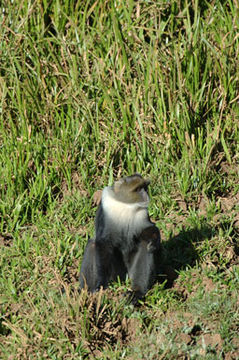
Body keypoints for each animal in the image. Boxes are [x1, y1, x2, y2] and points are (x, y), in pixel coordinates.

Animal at [79, 173, 162, 302]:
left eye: (145, 187)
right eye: (138, 189)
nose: (146, 195)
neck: (126, 205)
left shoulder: (142, 216)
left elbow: (147, 232)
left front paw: (155, 238)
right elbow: (103, 243)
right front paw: (101, 285)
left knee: (145, 246)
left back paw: (136, 292)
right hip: (115, 273)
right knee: (93, 245)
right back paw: (85, 293)